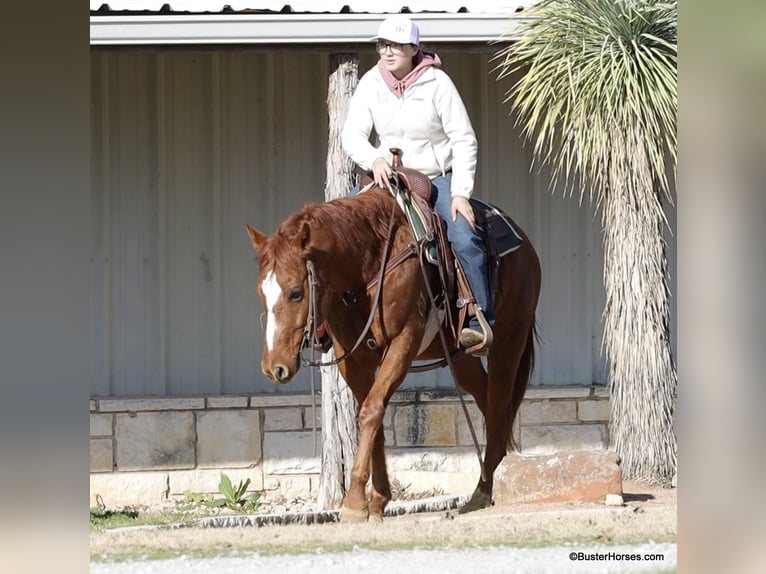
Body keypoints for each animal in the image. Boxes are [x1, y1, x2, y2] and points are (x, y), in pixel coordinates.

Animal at [246, 184, 541, 522]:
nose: (274, 367)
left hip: (508, 342)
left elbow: (371, 411)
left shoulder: (403, 342)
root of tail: (524, 244)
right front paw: (376, 500)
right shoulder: (354, 358)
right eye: (260, 291)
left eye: (296, 292)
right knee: (488, 403)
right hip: (463, 356)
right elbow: (370, 416)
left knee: (499, 405)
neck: (366, 265)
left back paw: (481, 492)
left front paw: (354, 501)